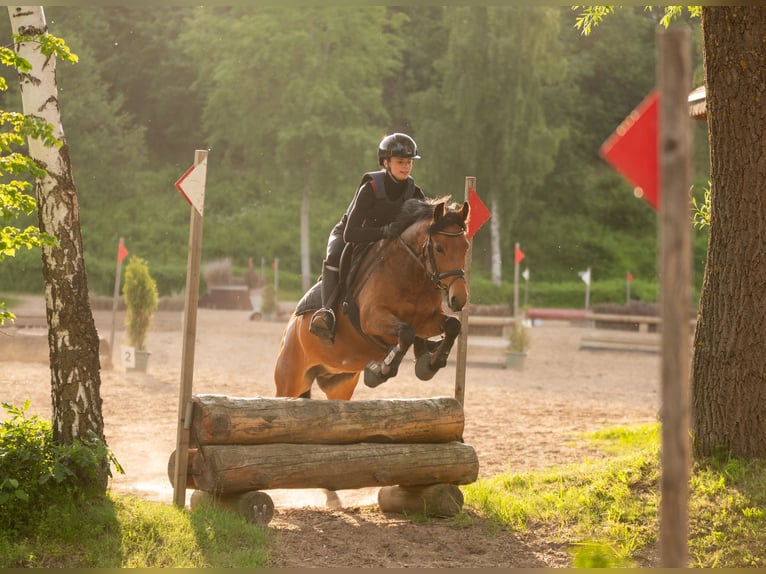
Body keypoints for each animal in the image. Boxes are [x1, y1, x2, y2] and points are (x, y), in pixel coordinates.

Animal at [272, 197, 472, 400]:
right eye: (439, 248)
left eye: (466, 247)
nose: (459, 298)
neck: (411, 278)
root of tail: (290, 328)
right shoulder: (371, 319)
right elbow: (406, 333)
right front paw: (380, 371)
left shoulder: (424, 323)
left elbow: (453, 325)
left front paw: (429, 365)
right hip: (289, 382)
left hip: (339, 383)